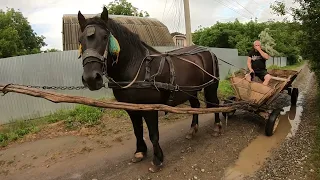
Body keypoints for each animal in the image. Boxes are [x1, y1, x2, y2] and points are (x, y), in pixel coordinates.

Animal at [78, 7, 222, 173]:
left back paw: (217, 127)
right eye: (80, 40)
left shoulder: (149, 108)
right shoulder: (131, 109)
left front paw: (157, 159)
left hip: (211, 86)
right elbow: (137, 130)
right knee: (195, 107)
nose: (91, 78)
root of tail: (208, 51)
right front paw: (140, 152)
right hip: (191, 90)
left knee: (215, 104)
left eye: (105, 37)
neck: (136, 67)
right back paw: (192, 130)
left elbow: (153, 134)